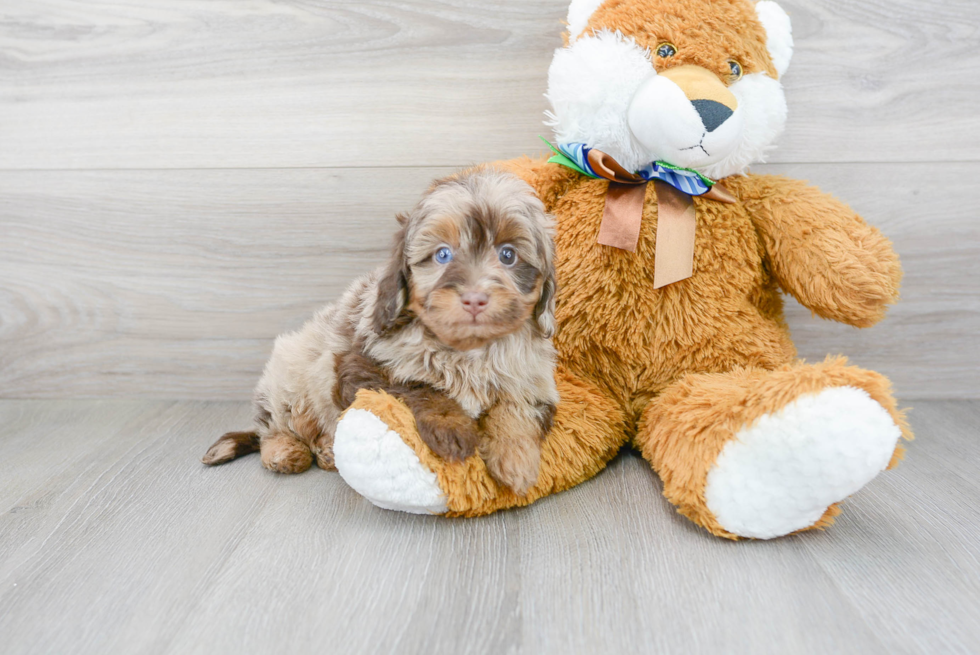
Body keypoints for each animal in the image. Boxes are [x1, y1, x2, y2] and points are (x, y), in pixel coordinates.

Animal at [203, 169, 560, 498]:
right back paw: (285, 452)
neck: (467, 350)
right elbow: (421, 387)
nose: (475, 299)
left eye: (508, 255)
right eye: (443, 254)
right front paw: (452, 429)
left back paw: (327, 451)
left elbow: (516, 408)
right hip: (290, 380)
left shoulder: (533, 379)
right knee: (273, 427)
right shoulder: (361, 366)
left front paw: (516, 458)